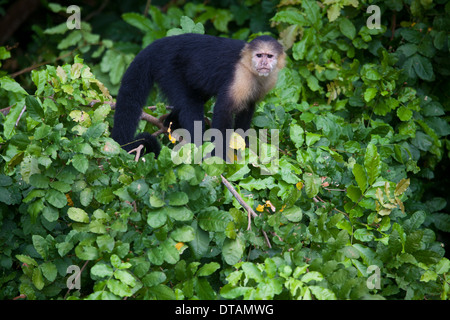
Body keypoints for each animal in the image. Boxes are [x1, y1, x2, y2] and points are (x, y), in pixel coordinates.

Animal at [113, 33, 288, 159]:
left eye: (269, 56)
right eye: (259, 55)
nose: (264, 63)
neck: (251, 69)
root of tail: (161, 44)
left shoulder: (266, 82)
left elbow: (247, 111)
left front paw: (242, 147)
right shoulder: (240, 77)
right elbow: (223, 110)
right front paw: (218, 156)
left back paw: (171, 122)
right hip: (169, 68)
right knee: (190, 103)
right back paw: (196, 146)